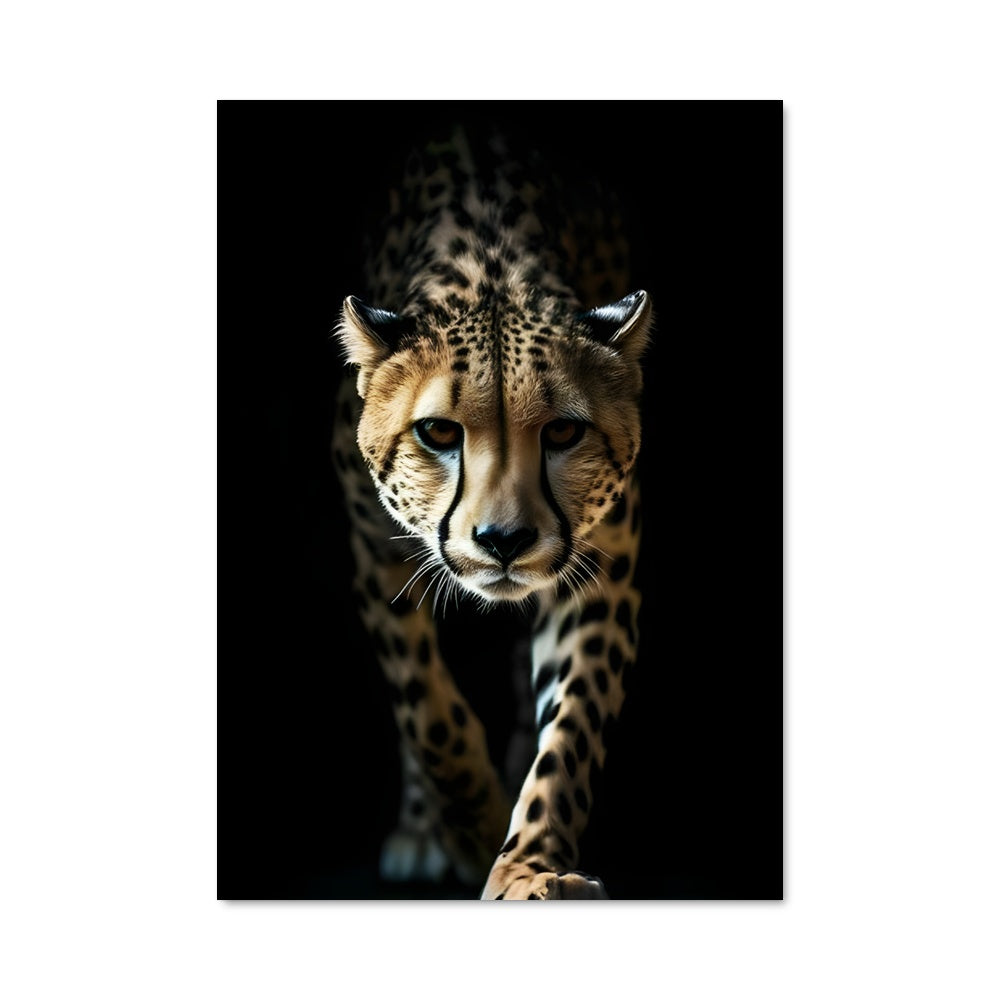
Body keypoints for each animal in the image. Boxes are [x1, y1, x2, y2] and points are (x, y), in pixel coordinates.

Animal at [331, 124, 651, 900]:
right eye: (438, 432)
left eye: (563, 431)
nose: (504, 540)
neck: (491, 264)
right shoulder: (373, 552)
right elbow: (426, 709)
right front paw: (472, 825)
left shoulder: (603, 565)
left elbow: (571, 725)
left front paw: (530, 865)